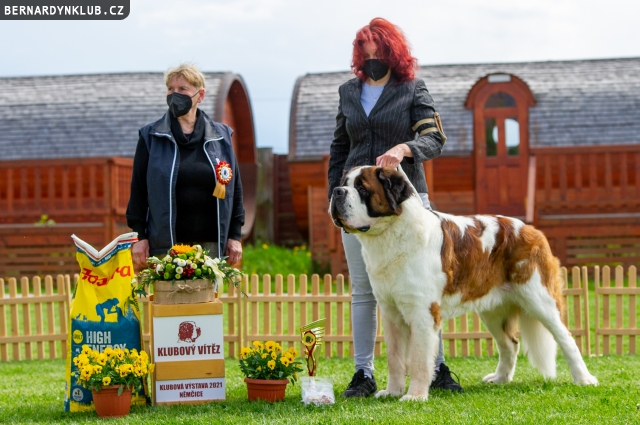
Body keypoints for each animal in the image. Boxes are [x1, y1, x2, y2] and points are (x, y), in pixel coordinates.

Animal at [329, 165, 598, 401]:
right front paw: (392, 392)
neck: (390, 235)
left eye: (362, 188)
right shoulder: (391, 313)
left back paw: (584, 379)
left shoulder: (422, 312)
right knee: (510, 344)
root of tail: (530, 228)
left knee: (566, 338)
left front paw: (415, 396)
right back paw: (500, 379)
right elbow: (395, 358)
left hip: (539, 299)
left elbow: (418, 359)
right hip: (492, 309)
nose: (337, 191)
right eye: (344, 183)